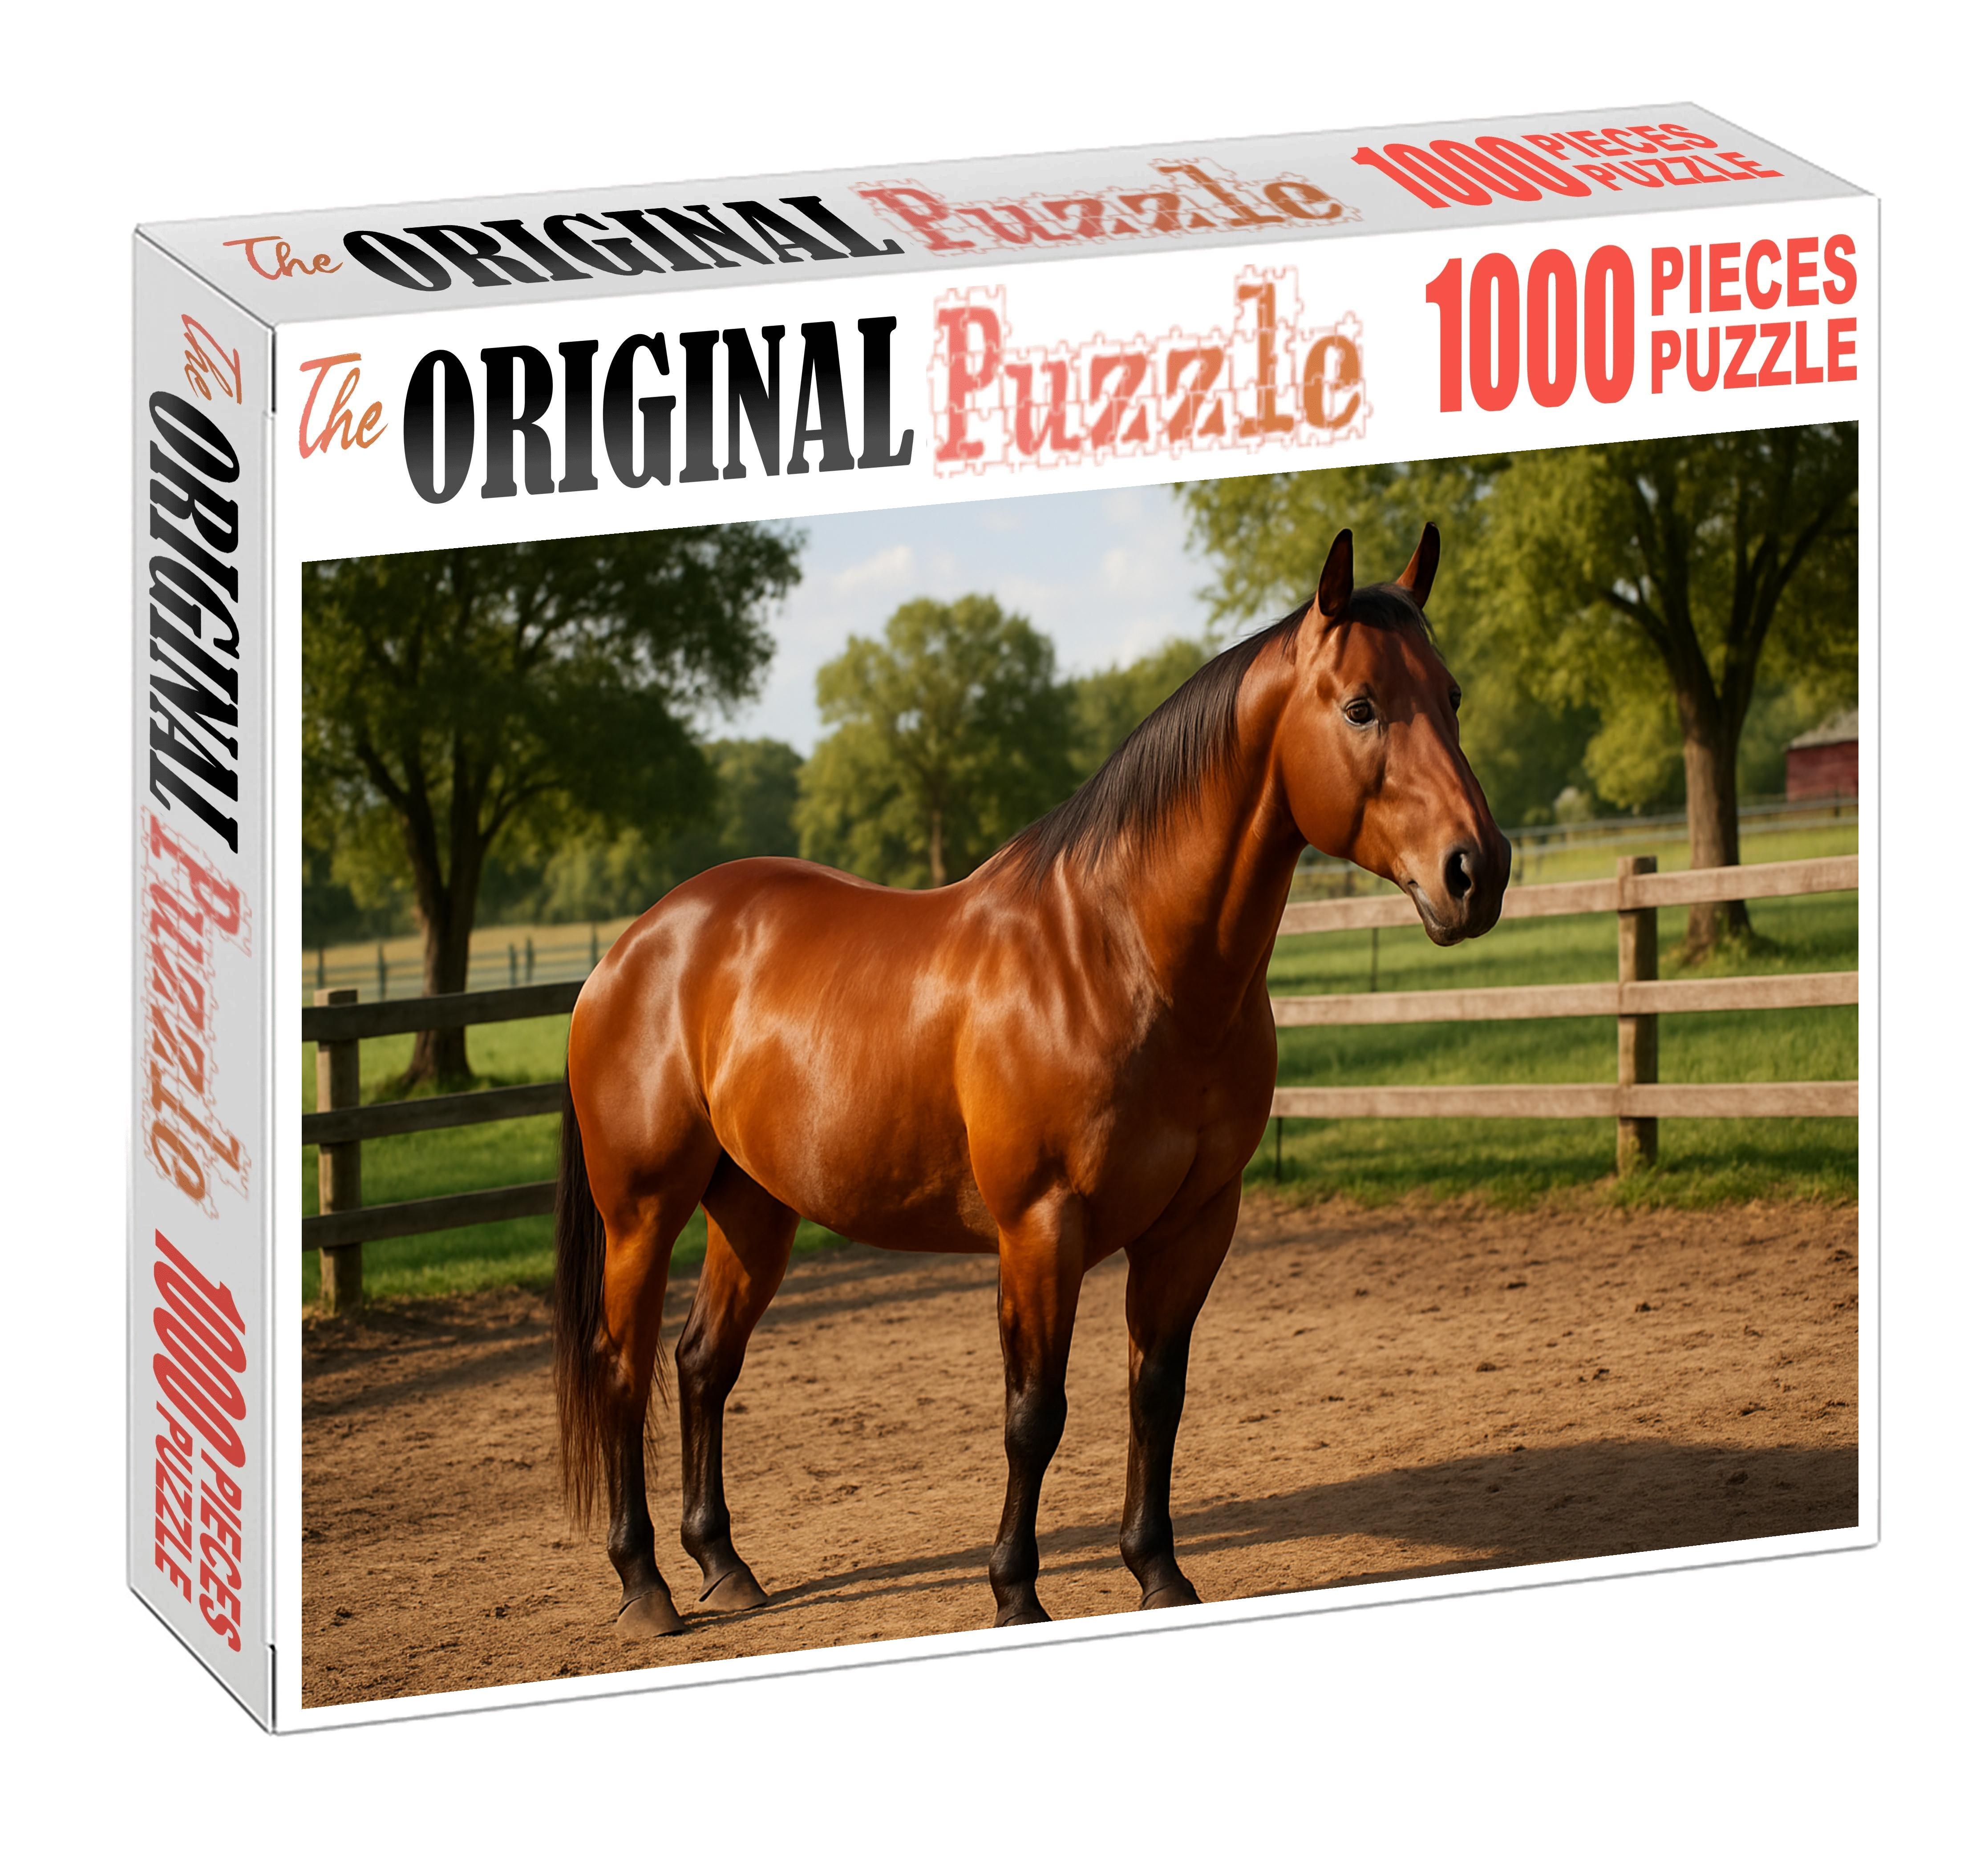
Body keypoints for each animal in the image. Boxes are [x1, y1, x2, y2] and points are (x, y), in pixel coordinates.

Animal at [553, 523, 1509, 1639]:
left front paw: (1159, 1571)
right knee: (623, 1371)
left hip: (754, 1206)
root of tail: (634, 948)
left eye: (1451, 695)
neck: (1123, 957)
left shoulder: (1194, 1225)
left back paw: (724, 1565)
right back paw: (646, 1585)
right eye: (1359, 705)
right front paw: (1015, 1591)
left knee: (703, 1362)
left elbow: (1156, 1394)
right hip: (643, 1213)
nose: (1475, 871)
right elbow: (1033, 1414)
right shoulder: (1040, 1230)